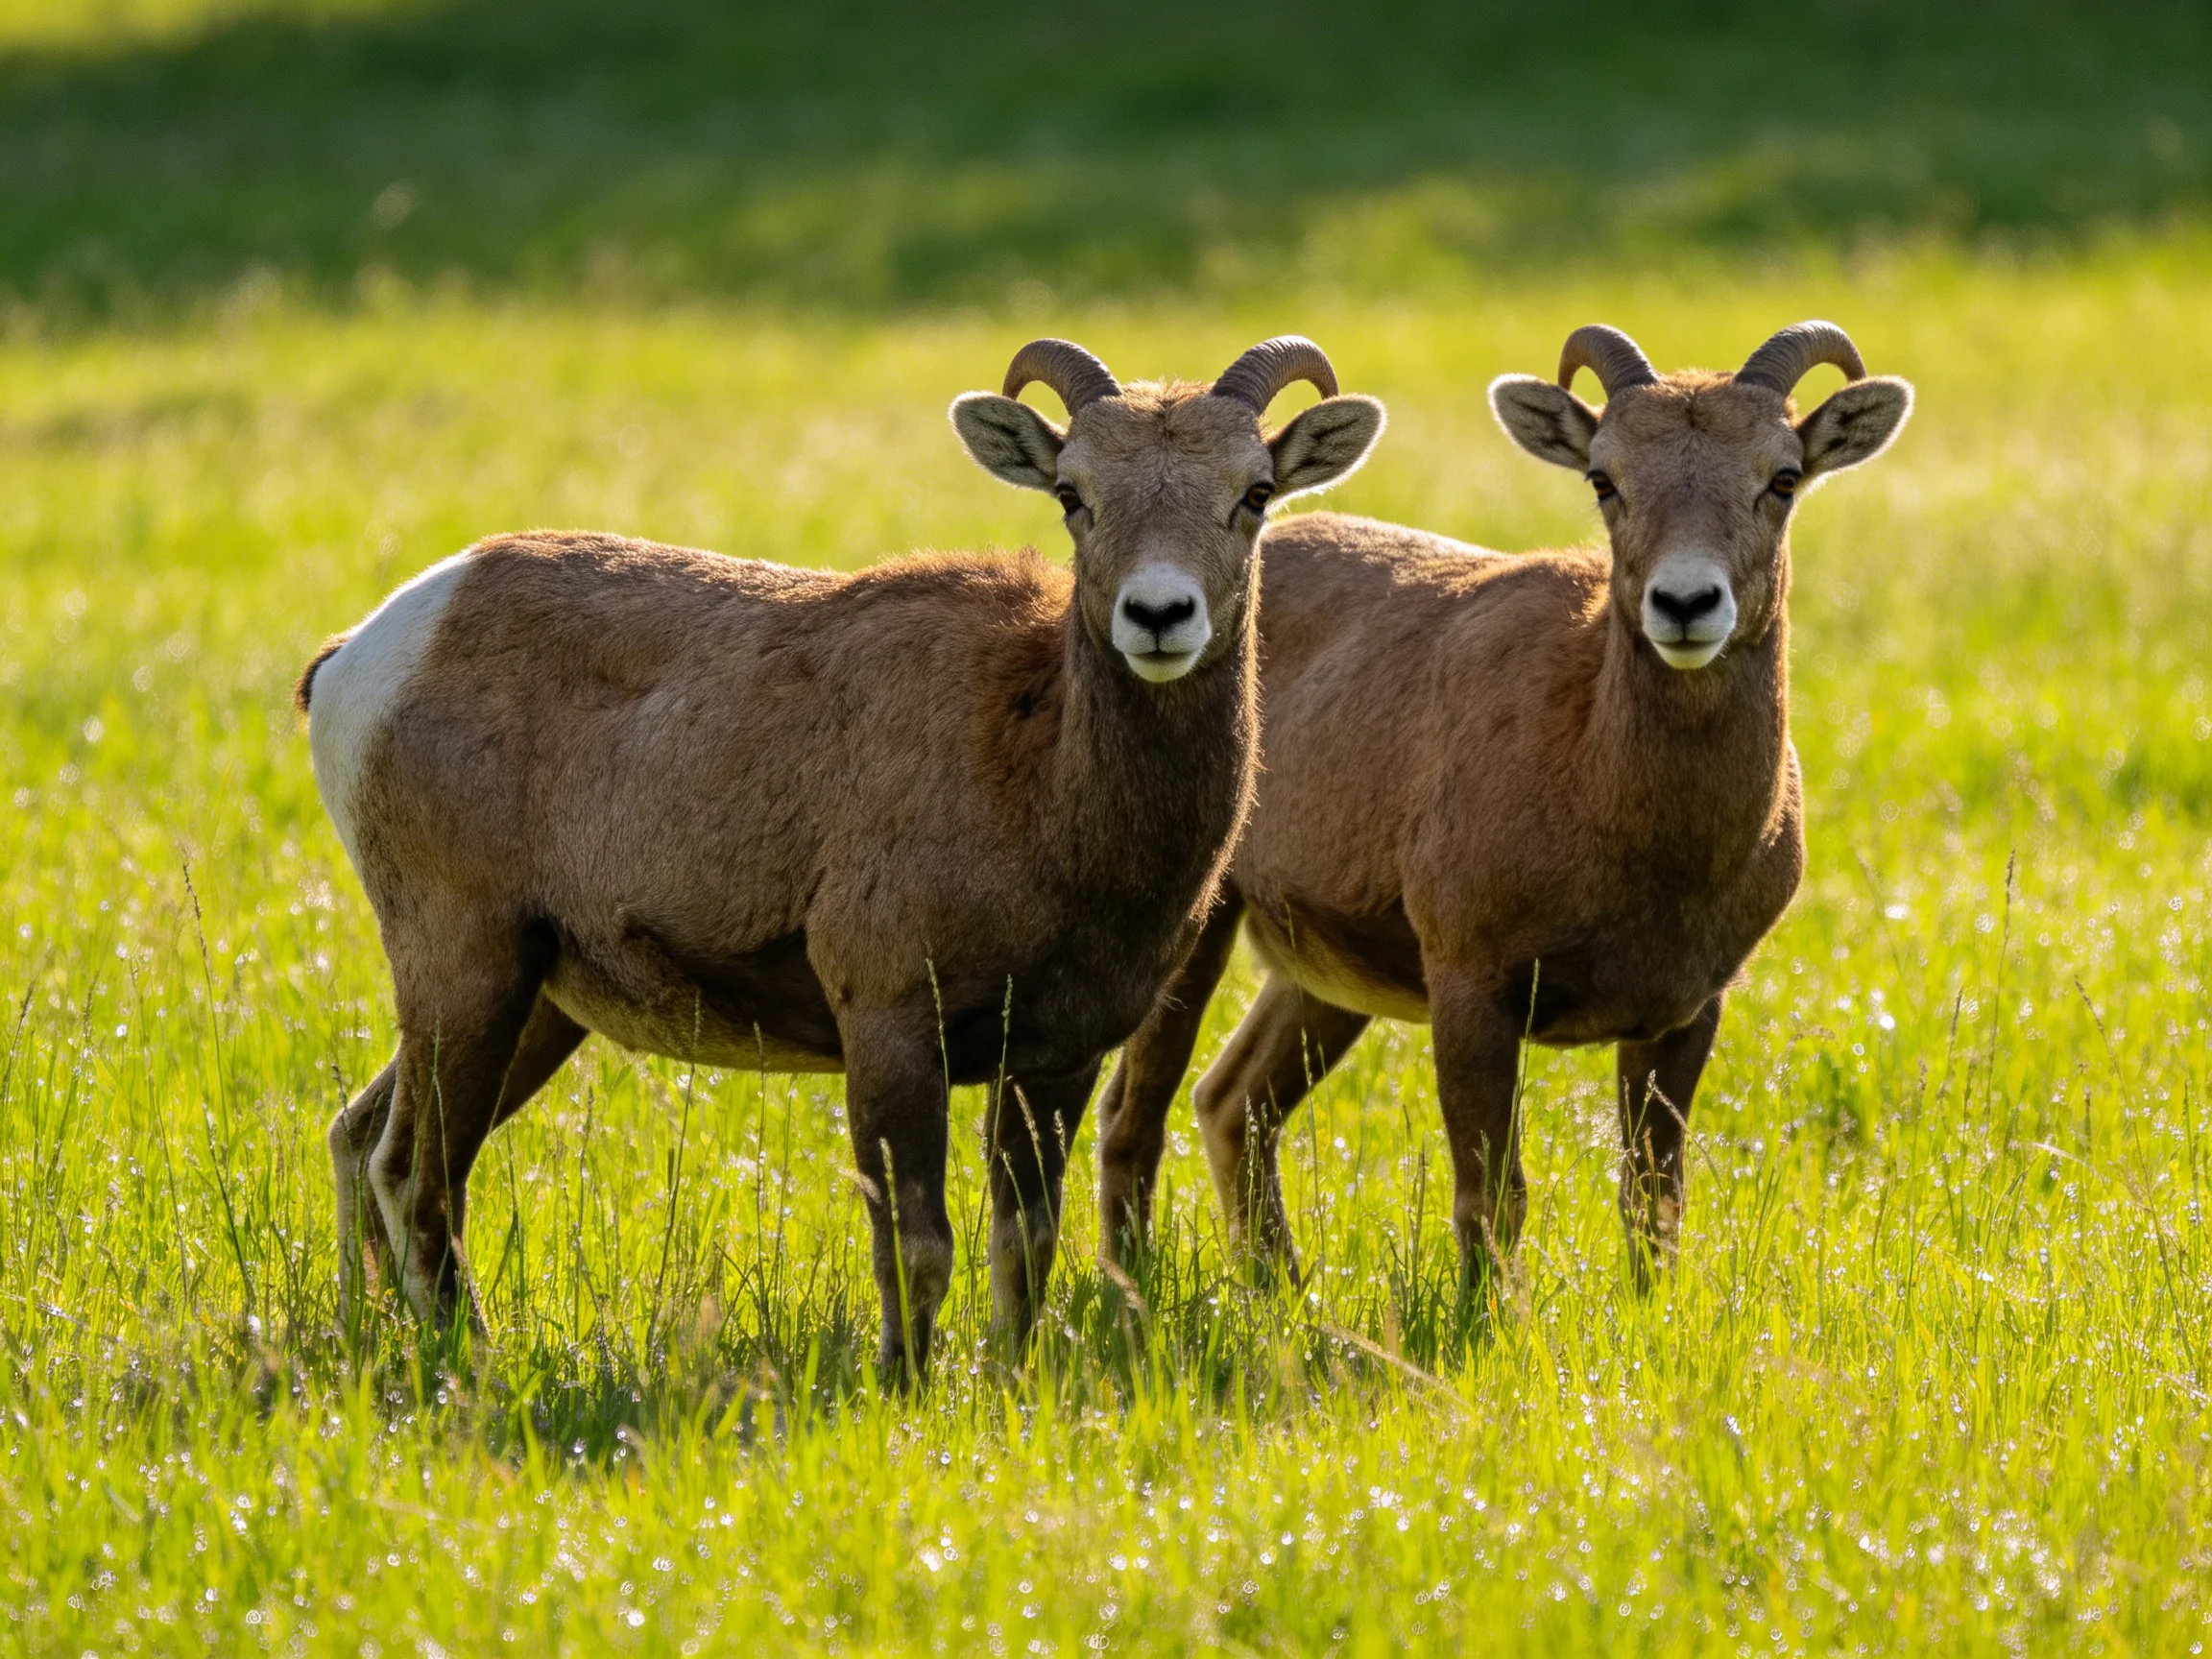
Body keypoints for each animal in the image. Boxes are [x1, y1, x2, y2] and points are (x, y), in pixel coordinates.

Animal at [296, 336, 1386, 1376]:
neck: (1037, 776)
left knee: (364, 1141)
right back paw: (466, 1362)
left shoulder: (1055, 1061)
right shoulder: (891, 1025)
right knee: (415, 1174)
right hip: (465, 971)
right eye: (1074, 494)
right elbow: (917, 1245)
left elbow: (1022, 1246)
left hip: (530, 1001)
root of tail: (363, 655)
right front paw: (905, 1390)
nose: (1159, 617)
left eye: (1254, 493)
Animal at [1093, 321, 1911, 1290]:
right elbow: (1494, 1199)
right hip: (1201, 925)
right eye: (1604, 479)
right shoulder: (1470, 983)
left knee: (1232, 1102)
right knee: (1134, 1112)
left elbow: (1653, 1203)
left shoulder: (1688, 1008)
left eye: (1782, 477)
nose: (1685, 603)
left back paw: (1281, 1291)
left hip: (1322, 978)